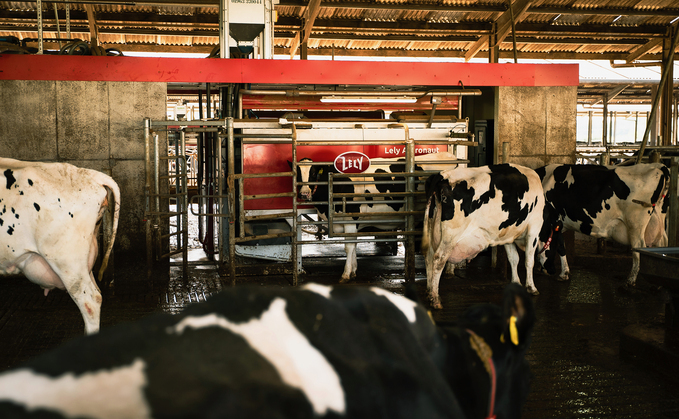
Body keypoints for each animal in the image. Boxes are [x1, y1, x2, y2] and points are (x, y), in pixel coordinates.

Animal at [289, 152, 458, 283]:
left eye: (313, 174)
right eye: (298, 174)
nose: (304, 193)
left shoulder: (350, 220)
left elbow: (349, 247)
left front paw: (346, 274)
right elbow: (354, 246)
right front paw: (353, 271)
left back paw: (450, 271)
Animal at [422, 164, 558, 309]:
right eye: (556, 246)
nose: (553, 270)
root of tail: (442, 176)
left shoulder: (507, 234)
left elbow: (513, 259)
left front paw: (516, 282)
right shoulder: (534, 228)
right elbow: (529, 261)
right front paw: (532, 288)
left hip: (432, 231)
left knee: (429, 257)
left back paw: (429, 292)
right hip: (450, 236)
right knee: (438, 259)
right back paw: (435, 299)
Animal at [535, 163, 670, 286]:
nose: (550, 270)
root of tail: (658, 166)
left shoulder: (553, 219)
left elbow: (557, 245)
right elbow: (561, 245)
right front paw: (562, 273)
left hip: (635, 224)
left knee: (638, 248)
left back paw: (631, 280)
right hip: (658, 222)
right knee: (661, 245)